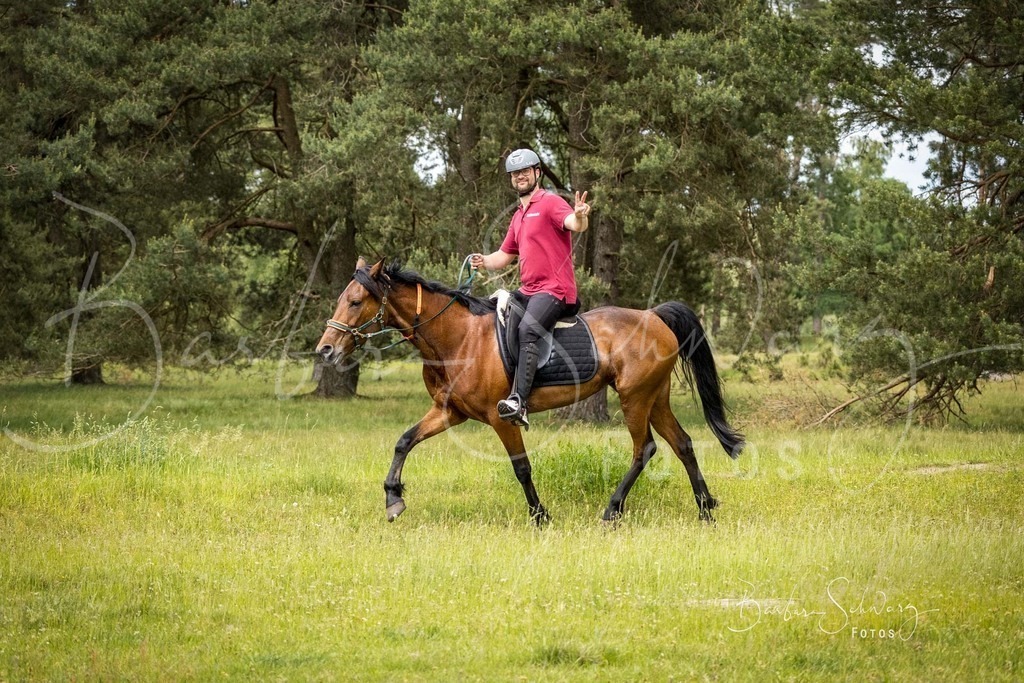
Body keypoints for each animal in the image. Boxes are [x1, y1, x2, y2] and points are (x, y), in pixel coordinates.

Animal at [316, 259, 744, 524]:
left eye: (355, 301)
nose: (325, 350)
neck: (458, 338)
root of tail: (655, 316)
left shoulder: (500, 417)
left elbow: (521, 467)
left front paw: (541, 516)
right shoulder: (448, 411)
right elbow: (404, 441)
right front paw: (393, 498)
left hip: (635, 398)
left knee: (646, 449)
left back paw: (612, 511)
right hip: (655, 396)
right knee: (682, 443)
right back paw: (706, 510)